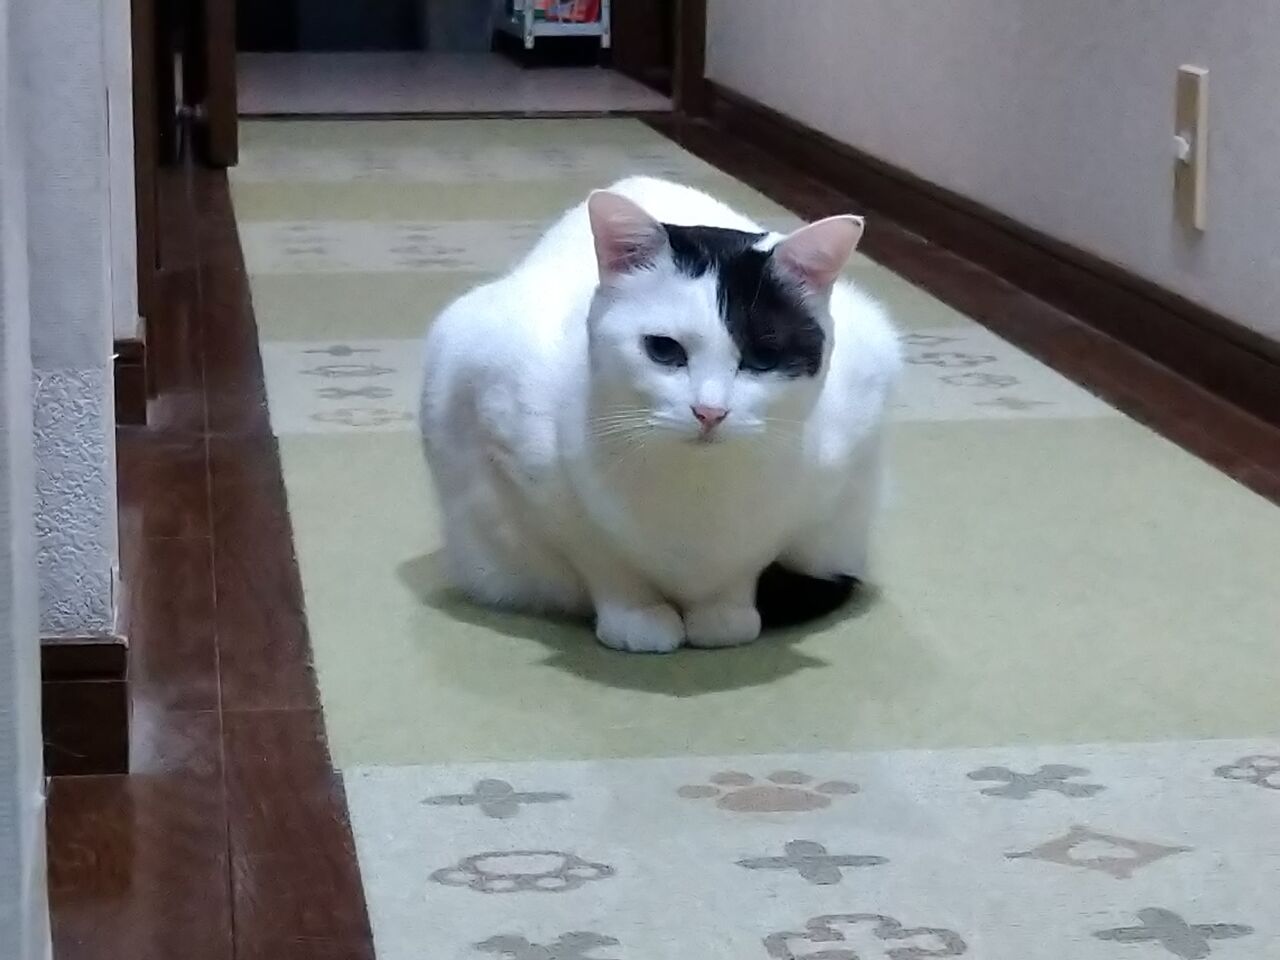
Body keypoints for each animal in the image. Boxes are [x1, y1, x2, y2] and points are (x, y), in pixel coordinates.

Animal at [419, 177, 900, 653]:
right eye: (664, 350)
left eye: (763, 359)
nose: (710, 411)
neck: (693, 492)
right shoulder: (513, 442)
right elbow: (602, 559)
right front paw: (637, 617)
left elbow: (745, 566)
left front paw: (724, 614)